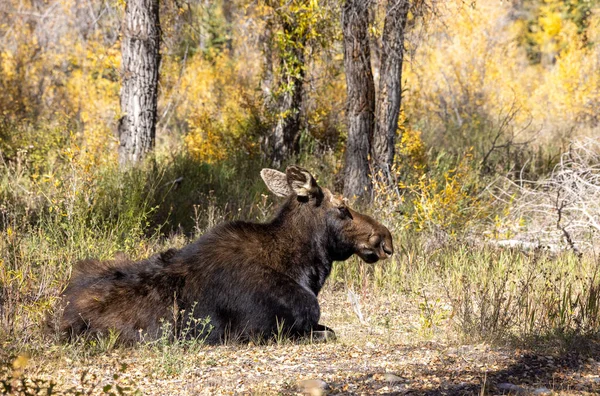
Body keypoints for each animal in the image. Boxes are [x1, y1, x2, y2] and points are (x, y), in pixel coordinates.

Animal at [58, 166, 392, 344]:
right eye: (343, 208)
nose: (385, 239)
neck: (305, 270)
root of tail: (61, 316)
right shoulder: (265, 330)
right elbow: (330, 331)